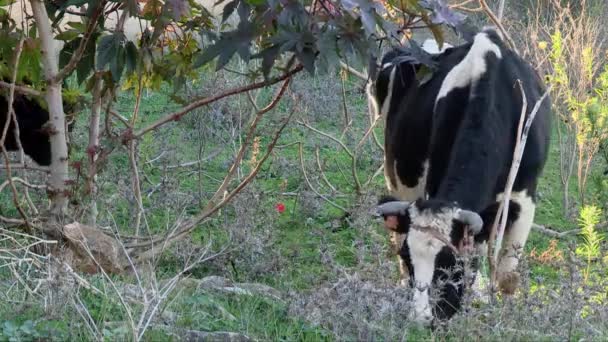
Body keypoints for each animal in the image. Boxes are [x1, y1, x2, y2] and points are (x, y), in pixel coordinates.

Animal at [368, 27, 552, 326]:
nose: (421, 318)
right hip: (394, 172)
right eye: (407, 258)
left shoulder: (525, 199)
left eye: (448, 263)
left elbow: (507, 278)